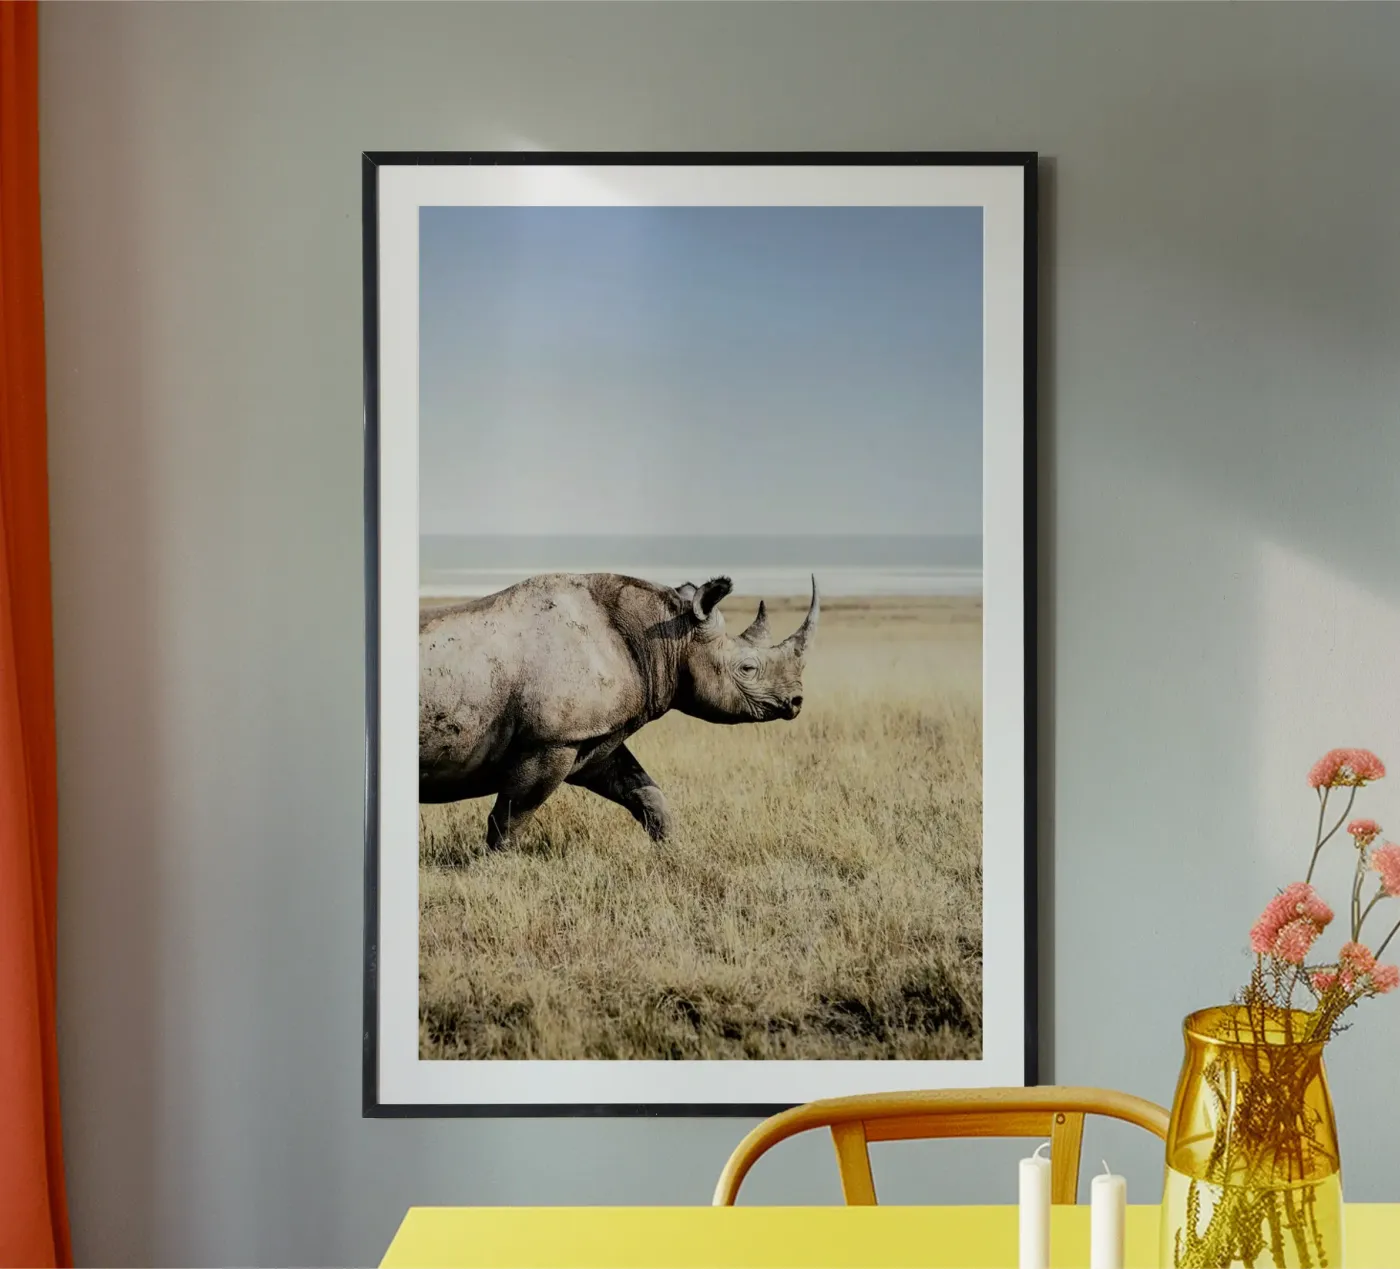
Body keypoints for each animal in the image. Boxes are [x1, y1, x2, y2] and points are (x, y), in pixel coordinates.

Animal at [419, 572, 818, 851]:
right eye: (747, 669)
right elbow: (512, 816)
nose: (797, 702)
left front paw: (672, 852)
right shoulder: (552, 740)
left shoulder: (592, 736)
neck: (667, 638)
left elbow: (644, 792)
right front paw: (496, 869)